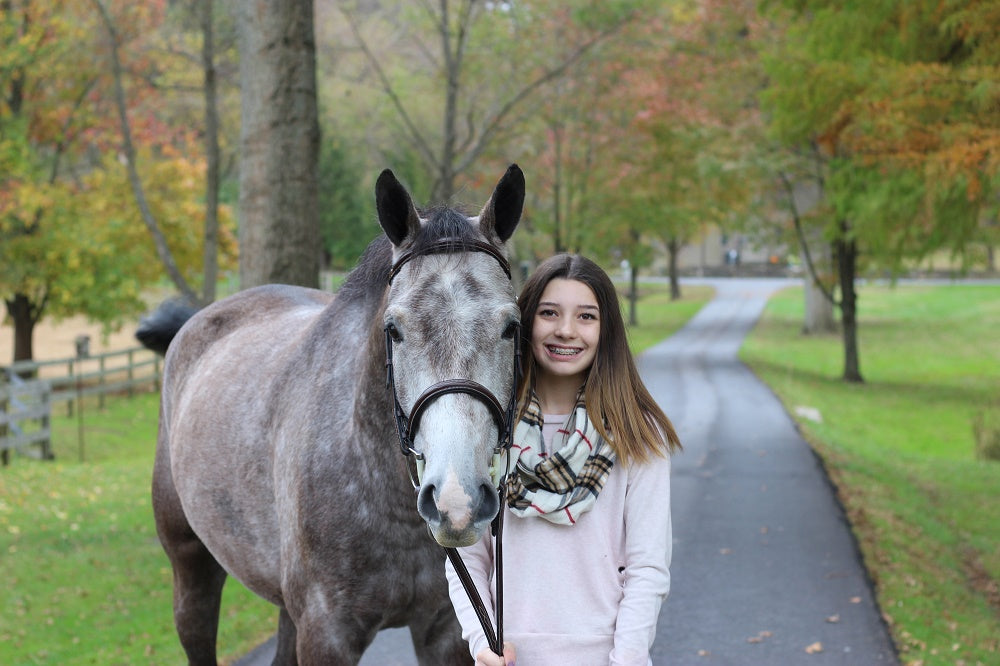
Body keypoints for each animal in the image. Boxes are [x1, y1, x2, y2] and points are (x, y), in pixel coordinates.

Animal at [139, 165, 525, 665]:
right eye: (393, 330)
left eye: (511, 327)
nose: (456, 502)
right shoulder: (327, 635)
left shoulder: (445, 632)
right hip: (192, 568)